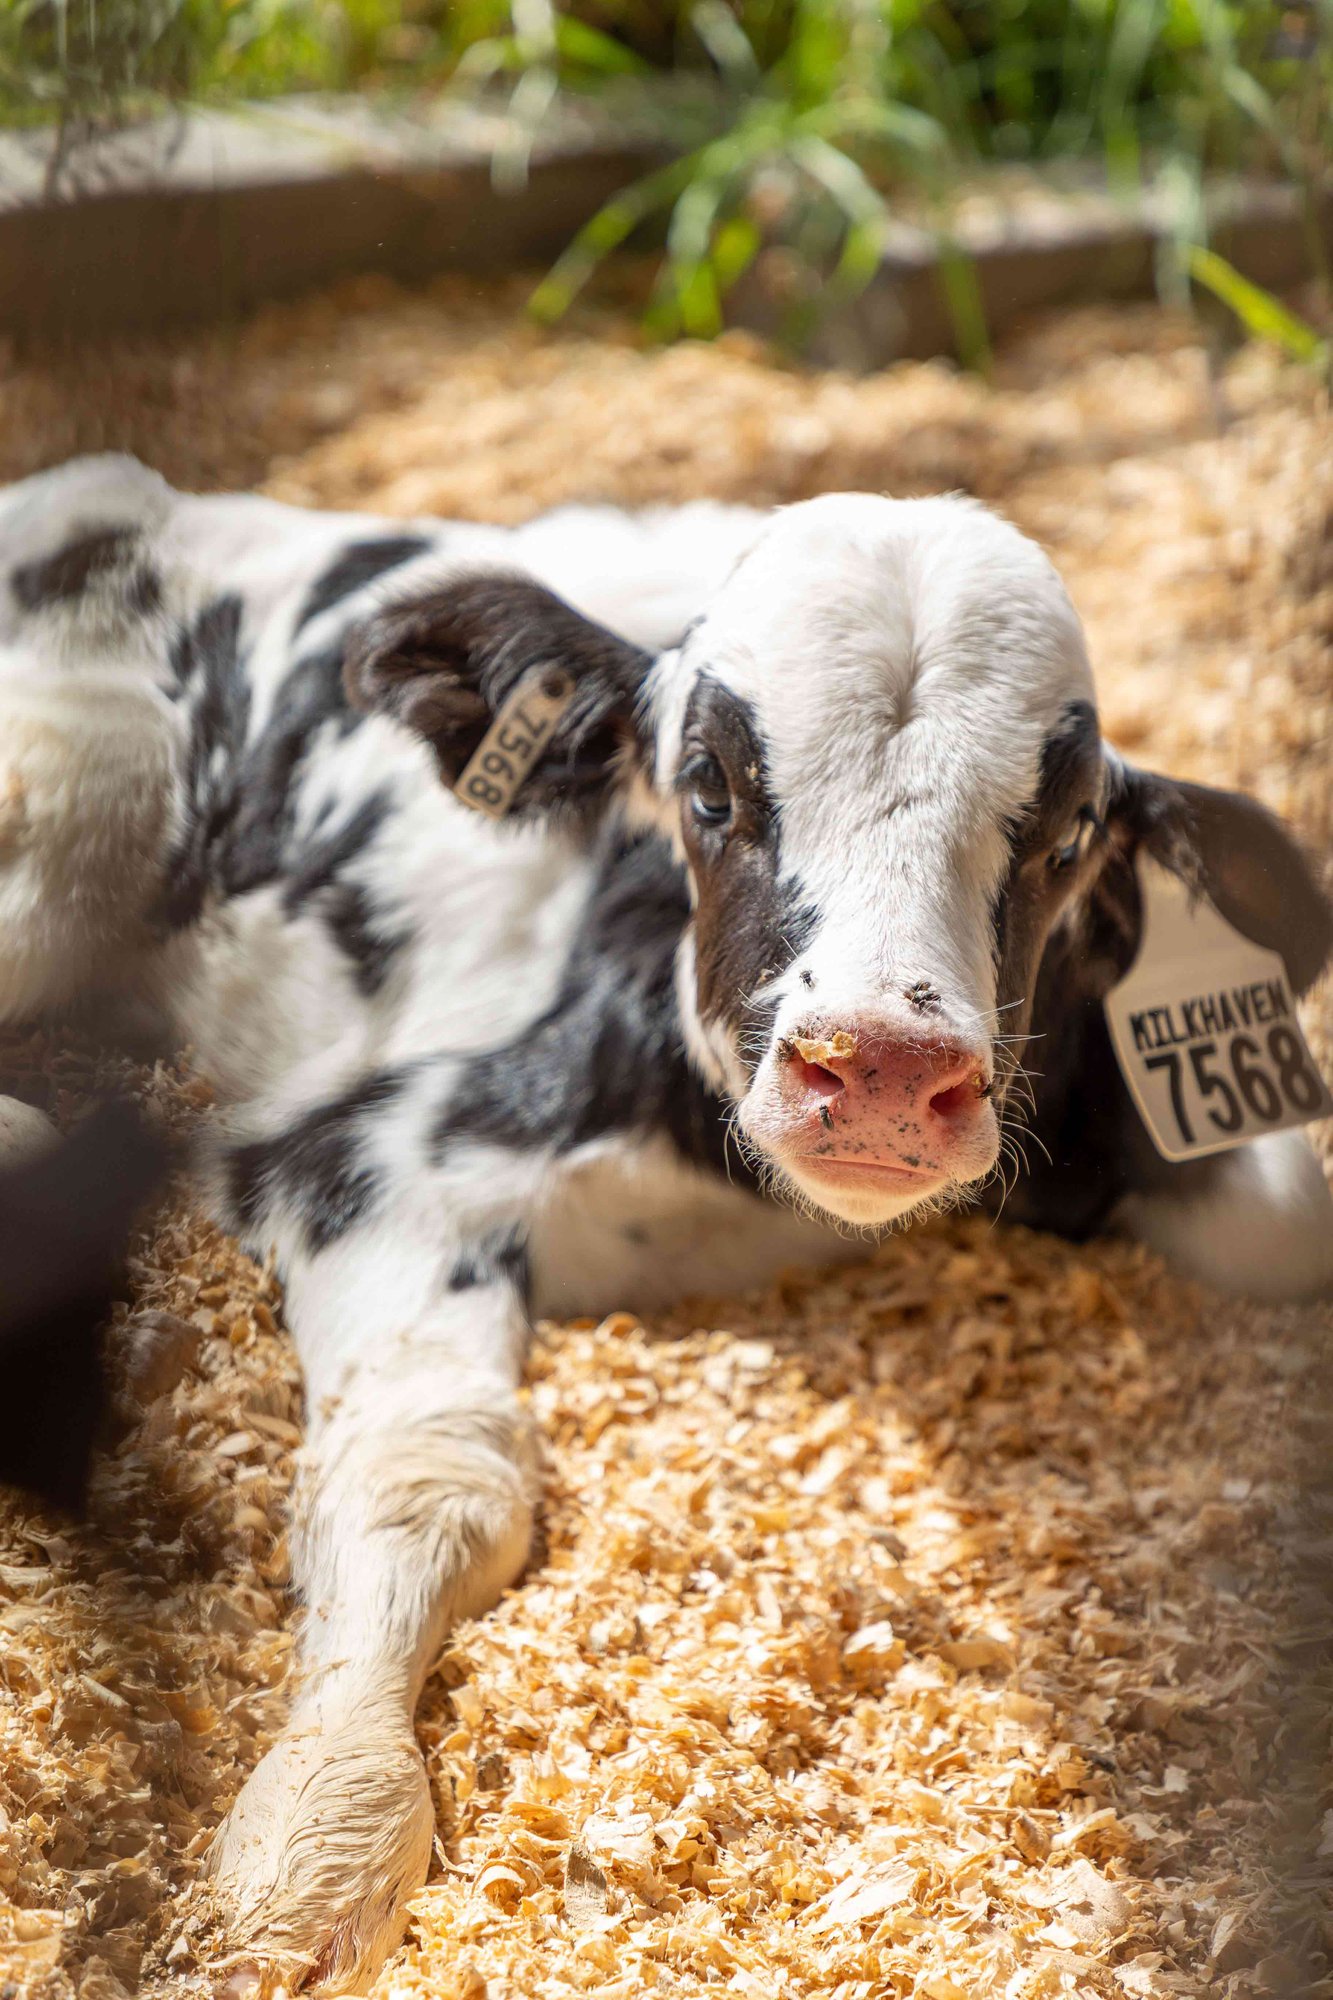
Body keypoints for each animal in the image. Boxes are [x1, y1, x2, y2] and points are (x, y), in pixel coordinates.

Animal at [2, 454, 1330, 1991]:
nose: (881, 1065)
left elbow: (1293, 1216)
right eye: (708, 786)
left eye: (1065, 833)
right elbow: (426, 1471)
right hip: (71, 796)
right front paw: (316, 1834)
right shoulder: (375, 1153)